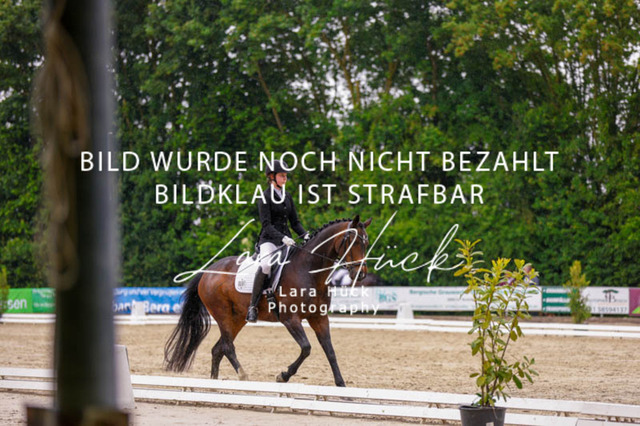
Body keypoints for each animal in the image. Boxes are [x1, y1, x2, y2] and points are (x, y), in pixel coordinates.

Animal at [164, 215, 371, 387]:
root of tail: (207, 271)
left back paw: (213, 383)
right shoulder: (290, 319)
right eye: (353, 241)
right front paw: (283, 376)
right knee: (227, 347)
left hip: (237, 319)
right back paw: (242, 376)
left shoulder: (319, 317)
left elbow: (329, 350)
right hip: (223, 315)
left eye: (366, 243)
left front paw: (341, 385)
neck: (308, 270)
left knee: (218, 349)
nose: (360, 274)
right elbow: (306, 348)